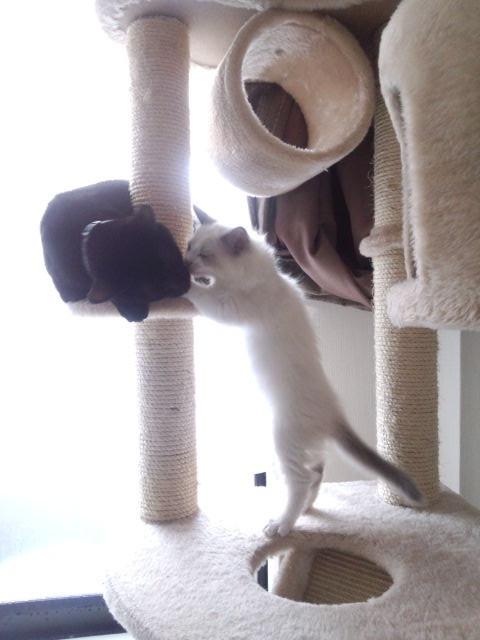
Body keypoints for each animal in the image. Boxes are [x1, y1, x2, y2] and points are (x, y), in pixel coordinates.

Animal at [185, 207, 423, 537]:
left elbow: (201, 293)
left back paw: (282, 524)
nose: (185, 261)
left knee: (301, 480)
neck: (266, 276)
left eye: (205, 255)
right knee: (316, 472)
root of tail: (333, 413)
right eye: (189, 247)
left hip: (282, 439)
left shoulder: (228, 306)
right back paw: (305, 510)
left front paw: (180, 281)